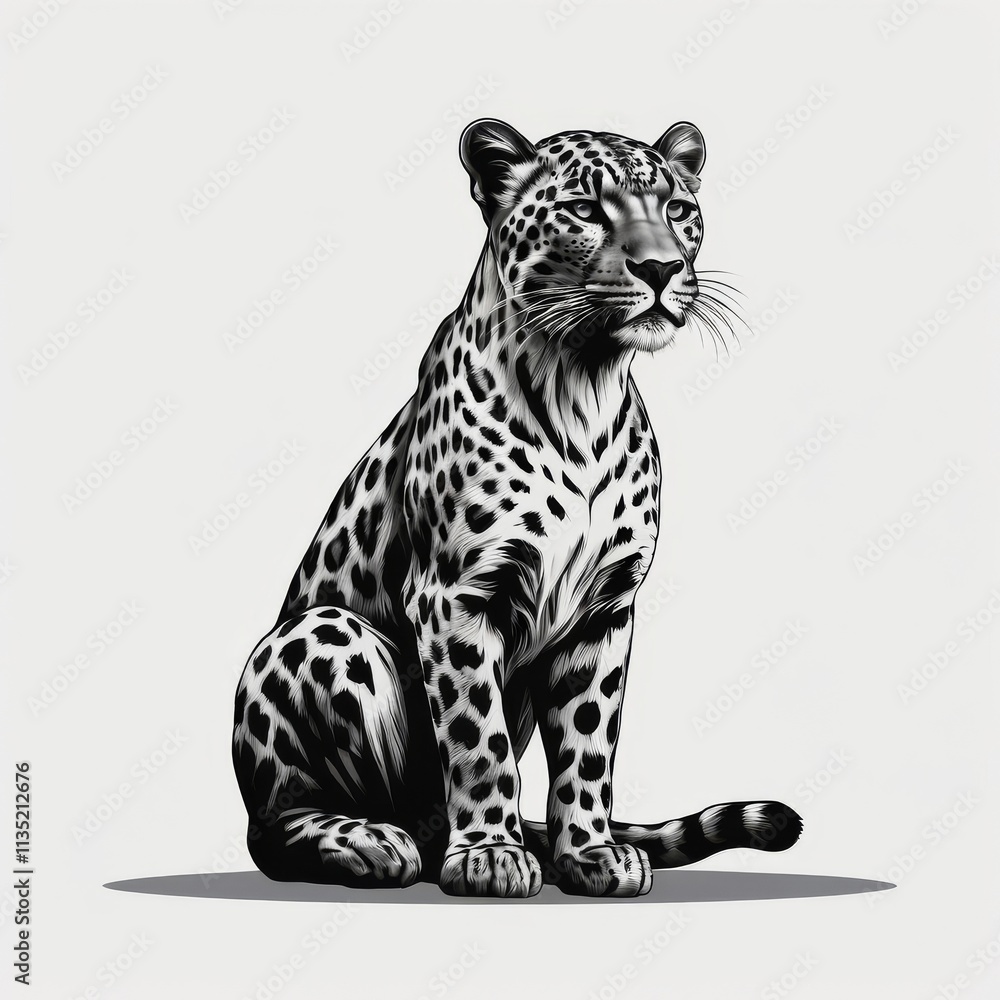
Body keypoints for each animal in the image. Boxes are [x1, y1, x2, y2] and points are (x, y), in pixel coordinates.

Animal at [232, 118, 803, 897]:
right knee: (279, 823)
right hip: (321, 635)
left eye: (678, 209)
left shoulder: (604, 608)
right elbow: (479, 738)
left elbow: (589, 743)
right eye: (586, 210)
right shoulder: (454, 593)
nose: (661, 269)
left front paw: (589, 853)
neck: (583, 386)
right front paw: (490, 855)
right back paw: (369, 841)